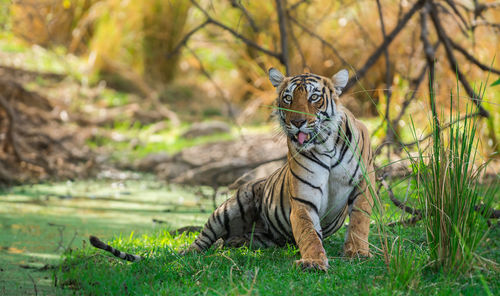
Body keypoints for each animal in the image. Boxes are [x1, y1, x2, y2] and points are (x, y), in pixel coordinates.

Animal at [91, 68, 378, 272]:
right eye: (288, 98)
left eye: (314, 98)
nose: (297, 122)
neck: (325, 144)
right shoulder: (303, 200)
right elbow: (309, 234)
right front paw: (314, 261)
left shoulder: (364, 185)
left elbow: (359, 222)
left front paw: (357, 253)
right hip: (229, 208)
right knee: (201, 242)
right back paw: (190, 254)